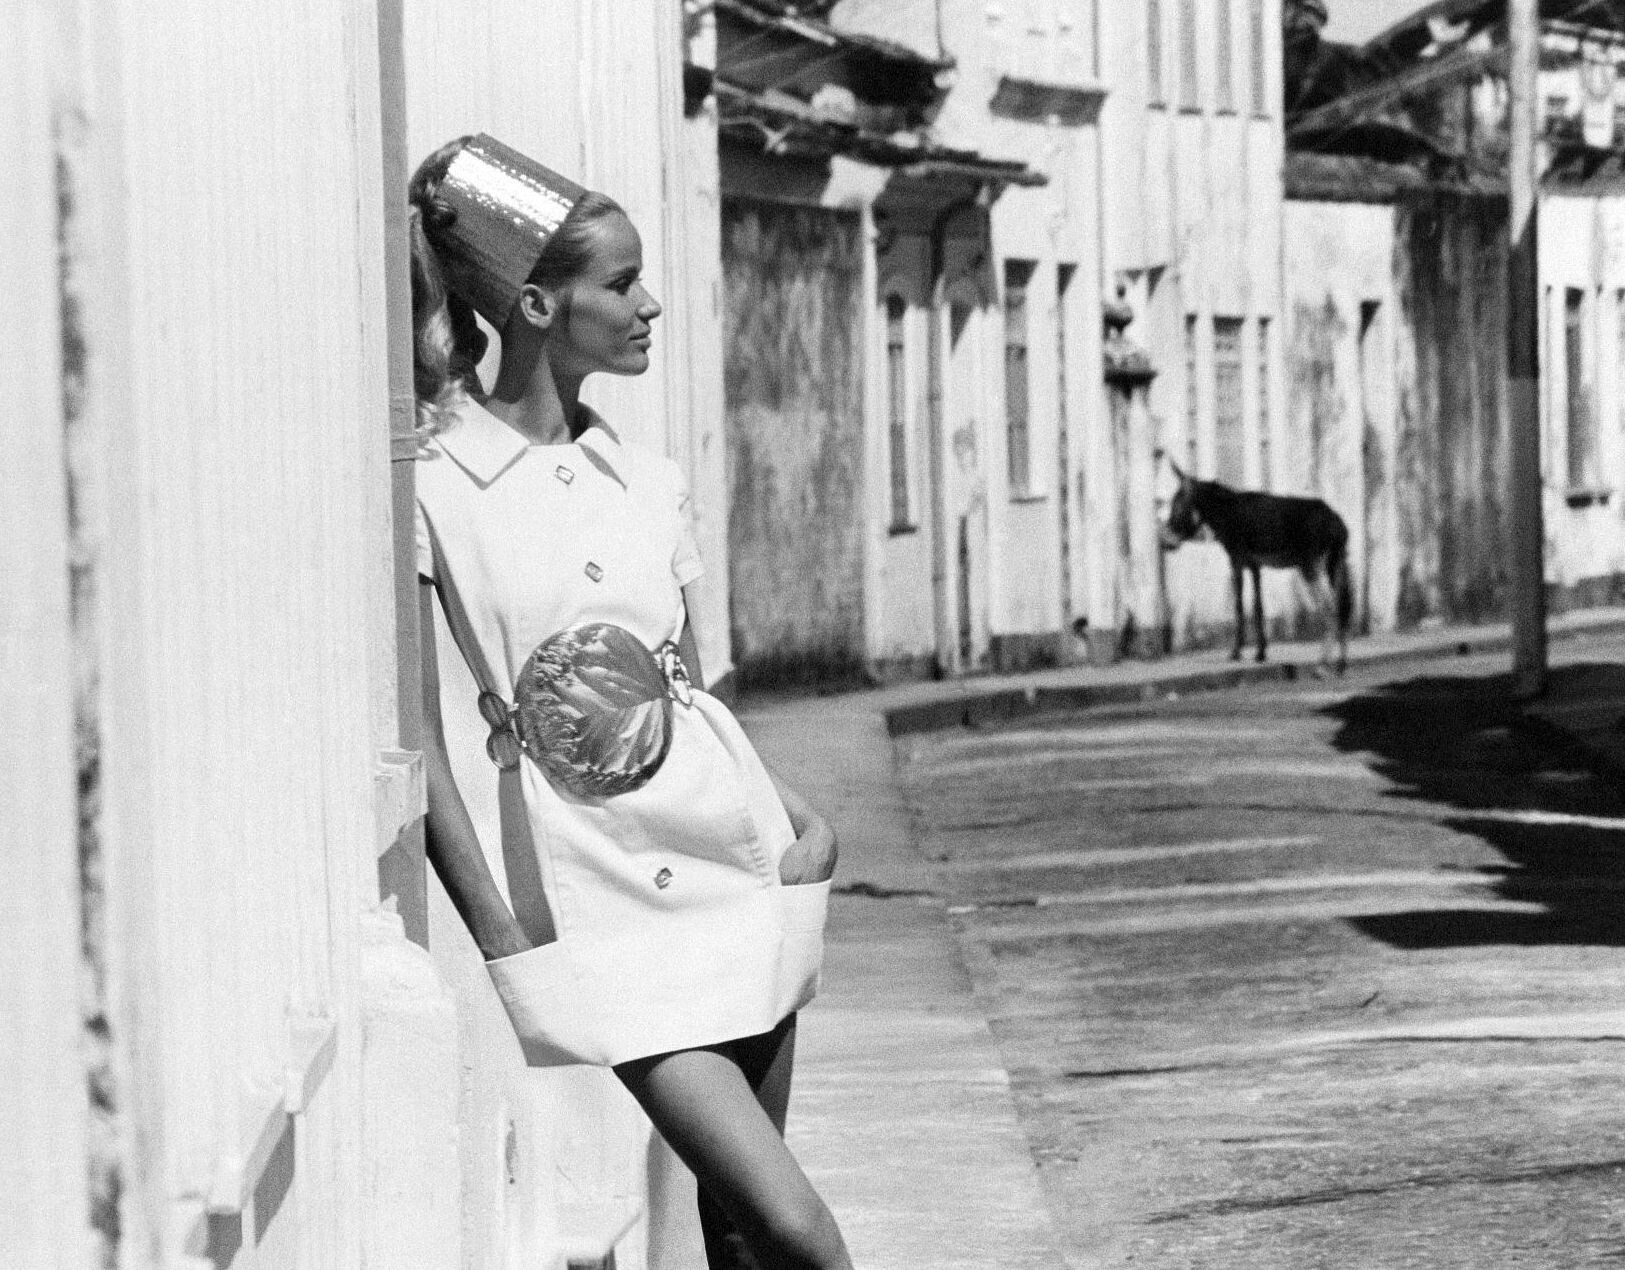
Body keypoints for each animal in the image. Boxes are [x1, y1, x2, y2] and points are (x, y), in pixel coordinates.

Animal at [1160, 463, 1353, 674]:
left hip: (1310, 567)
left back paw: (1322, 664)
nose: (1165, 543)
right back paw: (1341, 664)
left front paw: (1236, 652)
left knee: (1330, 607)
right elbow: (1258, 606)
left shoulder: (1236, 560)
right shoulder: (1254, 565)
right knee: (1340, 606)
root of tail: (1337, 522)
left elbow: (1239, 606)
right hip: (1334, 564)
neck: (1227, 512)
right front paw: (1260, 653)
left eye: (1177, 504)